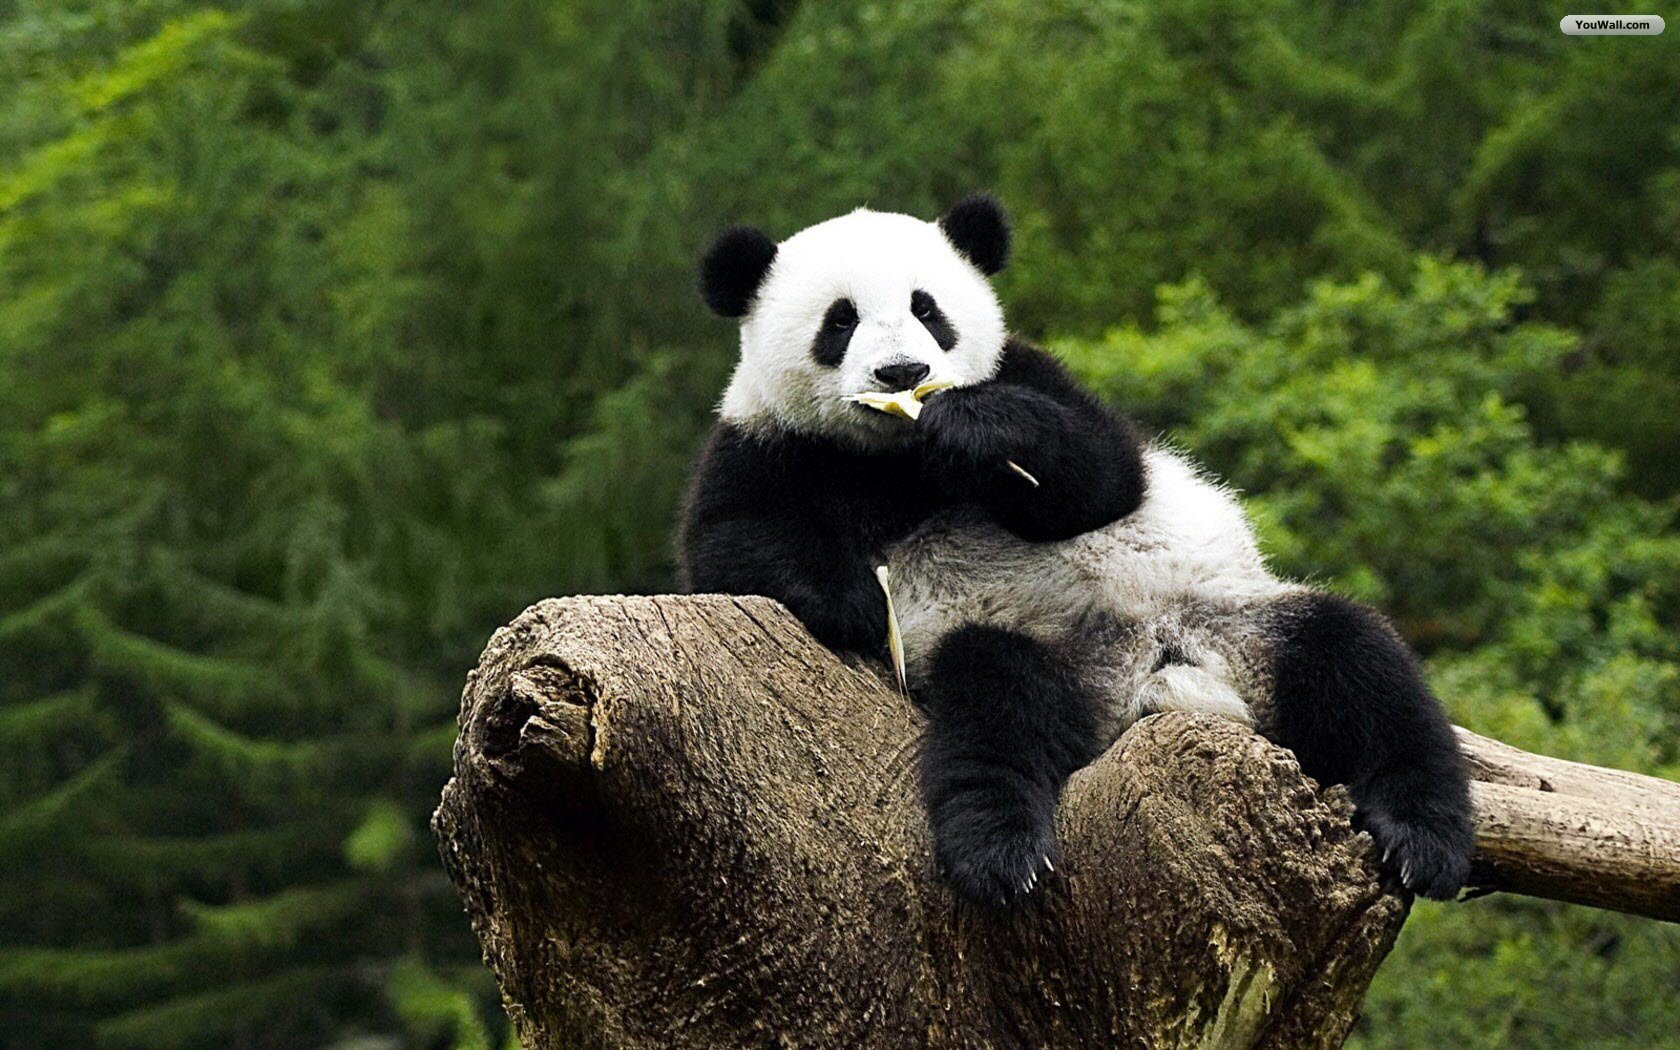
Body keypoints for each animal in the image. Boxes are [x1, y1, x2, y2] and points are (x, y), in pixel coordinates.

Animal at [679, 195, 1473, 906]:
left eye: (928, 309)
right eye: (839, 320)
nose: (903, 374)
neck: (896, 455)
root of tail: (1154, 673)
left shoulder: (1031, 374)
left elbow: (1104, 474)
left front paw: (976, 429)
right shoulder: (767, 444)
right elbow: (730, 544)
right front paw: (855, 603)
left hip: (1238, 619)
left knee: (1360, 666)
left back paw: (1423, 838)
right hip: (1034, 649)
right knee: (997, 710)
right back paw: (1002, 852)